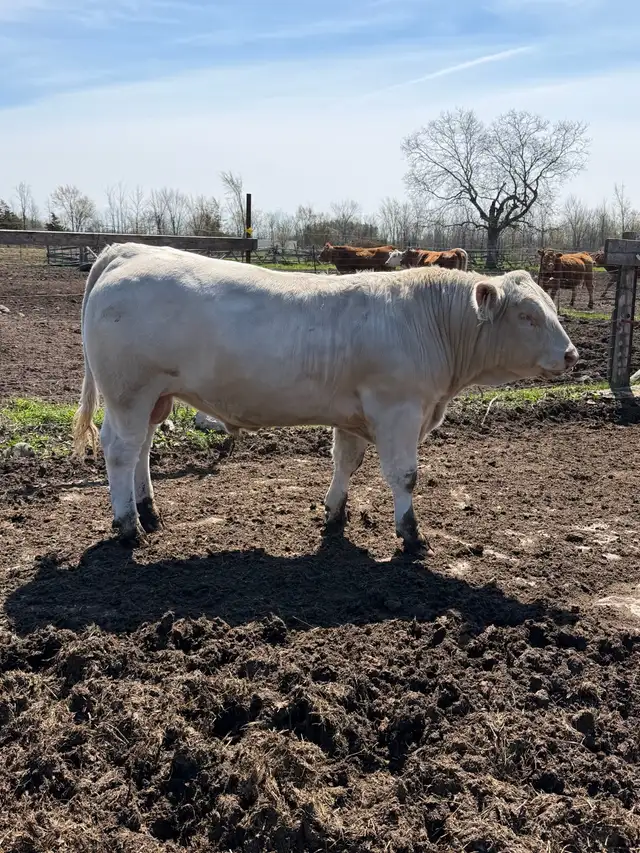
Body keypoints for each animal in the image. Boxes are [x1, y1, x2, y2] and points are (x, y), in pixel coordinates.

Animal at [72, 242, 578, 556]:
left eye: (552, 308)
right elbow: (405, 476)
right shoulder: (398, 410)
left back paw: (149, 512)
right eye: (528, 315)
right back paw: (128, 526)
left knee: (142, 449)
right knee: (120, 451)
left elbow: (346, 463)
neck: (424, 321)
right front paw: (412, 536)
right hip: (128, 393)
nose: (572, 354)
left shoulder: (353, 415)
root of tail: (129, 251)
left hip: (156, 396)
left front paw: (335, 514)